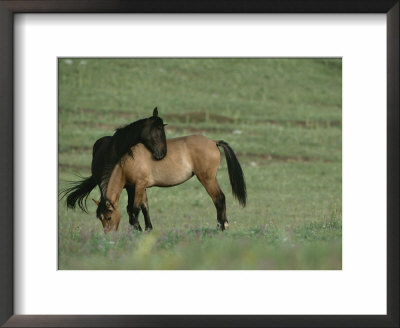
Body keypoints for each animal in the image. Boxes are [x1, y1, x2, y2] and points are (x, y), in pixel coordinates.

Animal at [93, 135, 247, 233]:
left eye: (109, 217)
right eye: (100, 218)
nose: (108, 235)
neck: (128, 162)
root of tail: (213, 142)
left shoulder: (139, 186)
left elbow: (135, 208)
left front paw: (137, 229)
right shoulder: (142, 188)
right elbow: (145, 207)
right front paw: (148, 228)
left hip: (207, 179)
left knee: (219, 198)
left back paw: (221, 226)